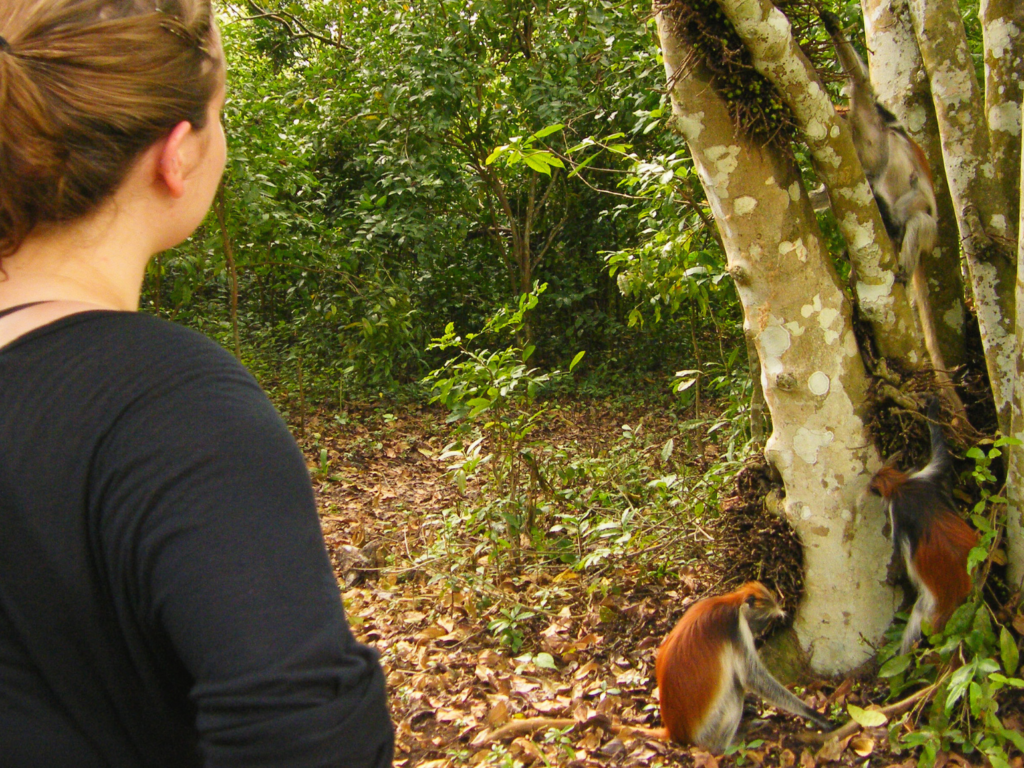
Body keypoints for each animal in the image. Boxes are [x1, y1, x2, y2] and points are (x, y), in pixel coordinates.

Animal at [655, 581, 831, 753]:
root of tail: (674, 730)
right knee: (736, 690)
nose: (759, 632)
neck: (731, 602)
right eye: (763, 620)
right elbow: (751, 677)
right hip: (708, 728)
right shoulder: (737, 627)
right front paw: (813, 714)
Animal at [872, 399, 974, 659]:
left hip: (933, 602)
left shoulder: (897, 512)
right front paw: (932, 410)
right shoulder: (924, 479)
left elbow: (898, 554)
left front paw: (892, 576)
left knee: (919, 614)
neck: (902, 488)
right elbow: (942, 455)